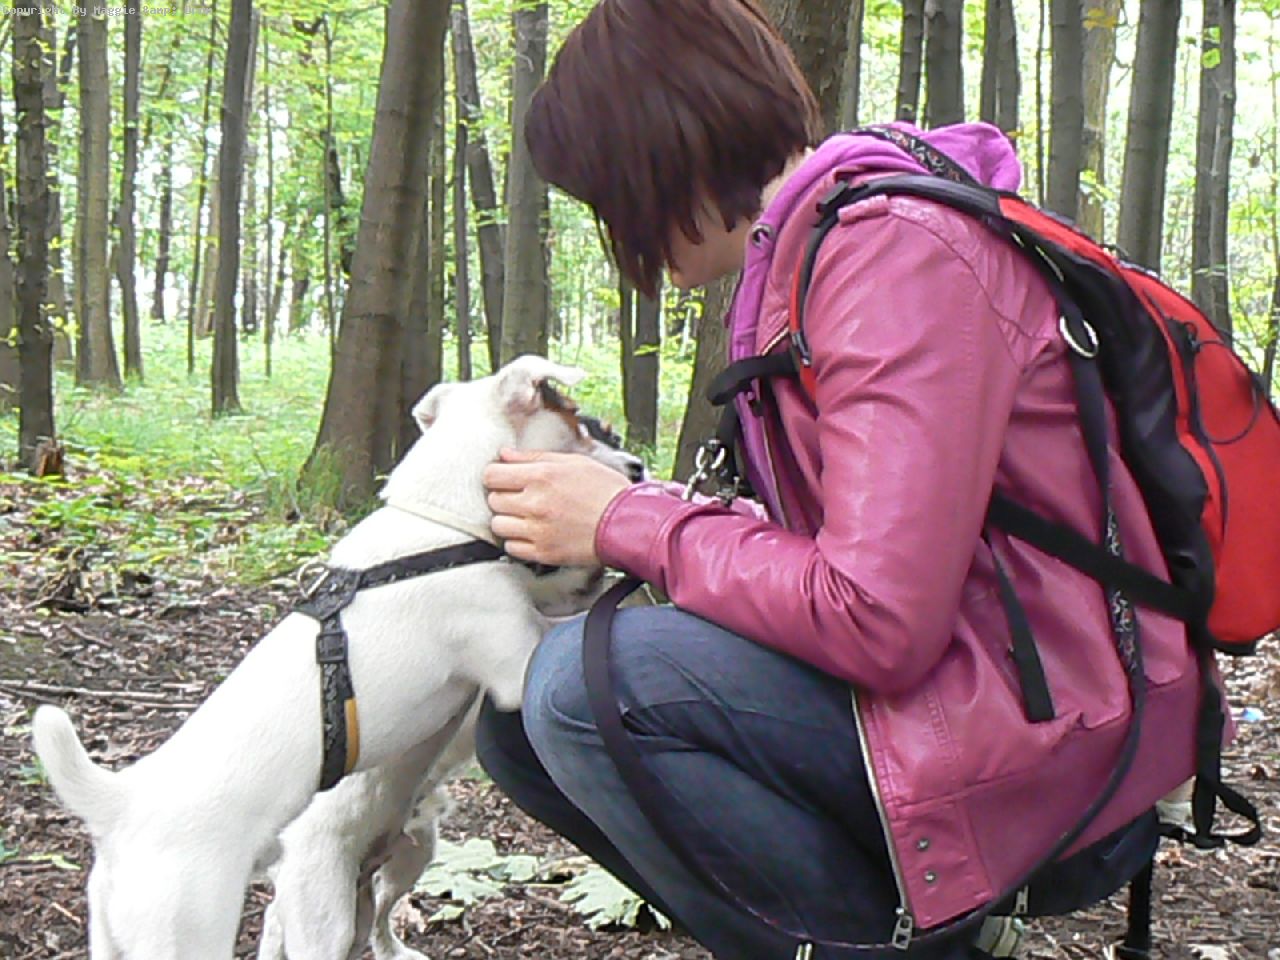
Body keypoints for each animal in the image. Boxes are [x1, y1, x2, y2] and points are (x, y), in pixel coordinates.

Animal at [32, 355, 644, 960]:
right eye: (581, 425)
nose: (639, 469)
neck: (435, 521)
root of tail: (122, 806)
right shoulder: (514, 657)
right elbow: (561, 629)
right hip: (213, 926)